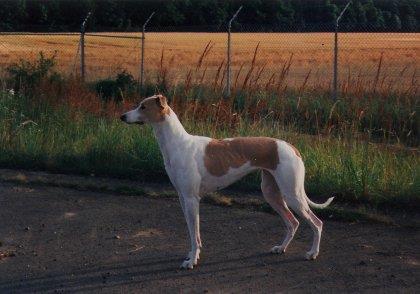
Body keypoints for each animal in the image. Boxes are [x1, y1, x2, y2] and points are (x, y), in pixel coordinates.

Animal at [120, 94, 334, 268]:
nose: (122, 117)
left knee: (316, 223)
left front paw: (192, 261)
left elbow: (194, 234)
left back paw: (312, 253)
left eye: (143, 107)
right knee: (293, 222)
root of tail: (291, 147)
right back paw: (281, 248)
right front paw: (192, 255)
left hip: (292, 194)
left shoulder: (191, 199)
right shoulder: (182, 198)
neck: (178, 144)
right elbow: (192, 232)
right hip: (272, 192)